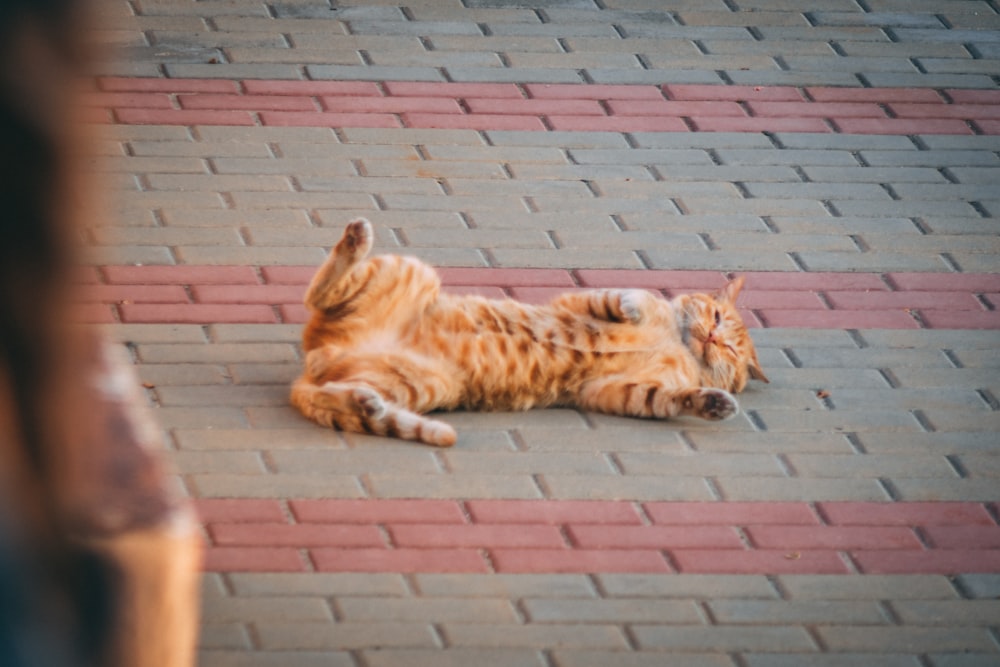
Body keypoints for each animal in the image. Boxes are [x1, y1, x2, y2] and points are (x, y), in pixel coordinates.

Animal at [292, 220, 768, 448]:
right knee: (317, 291)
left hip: (423, 384)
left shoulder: (612, 392)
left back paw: (366, 404)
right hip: (414, 272)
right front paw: (636, 306)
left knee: (335, 394)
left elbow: (668, 399)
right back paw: (355, 238)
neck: (679, 346)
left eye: (729, 350)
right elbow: (625, 297)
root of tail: (316, 355)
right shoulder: (578, 301)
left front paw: (713, 404)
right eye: (718, 317)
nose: (712, 339)